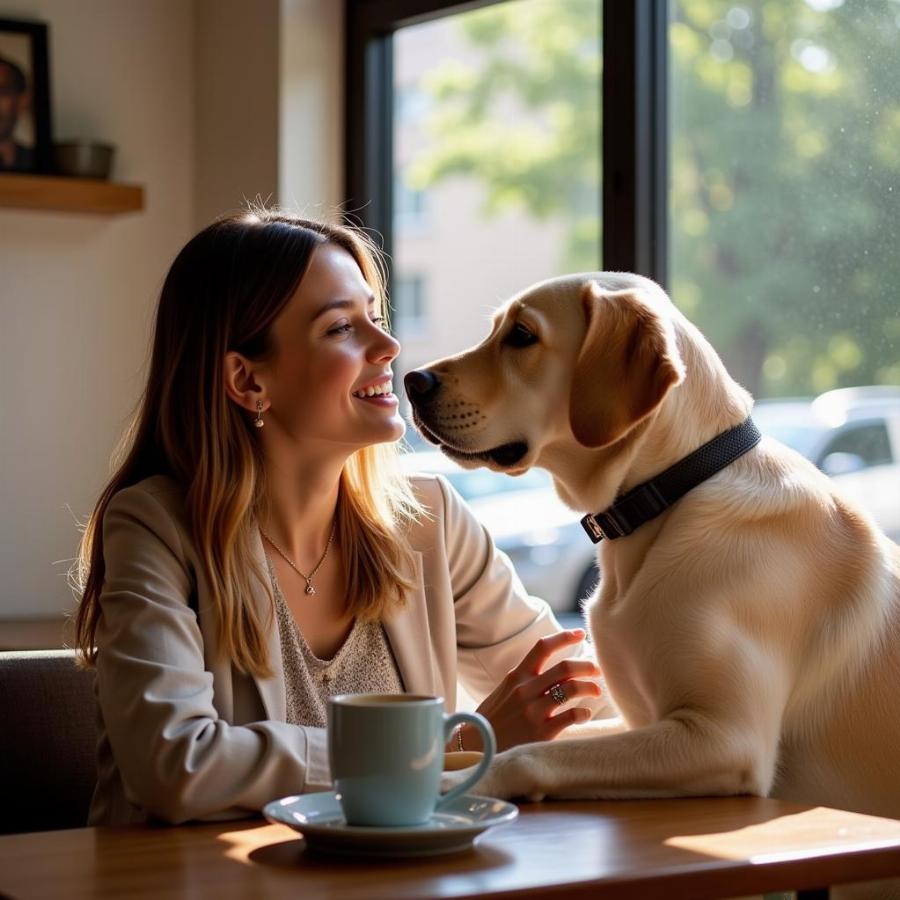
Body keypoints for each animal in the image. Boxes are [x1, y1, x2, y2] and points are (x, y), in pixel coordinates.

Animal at [406, 274, 900, 828]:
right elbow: (532, 742)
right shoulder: (638, 719)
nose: (412, 381)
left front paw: (456, 785)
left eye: (522, 335)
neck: (674, 490)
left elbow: (532, 754)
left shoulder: (723, 737)